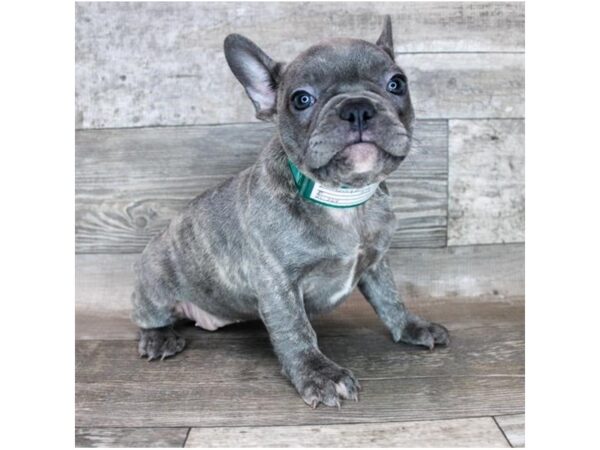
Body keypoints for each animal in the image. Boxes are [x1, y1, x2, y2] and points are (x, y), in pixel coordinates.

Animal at [132, 17, 450, 410]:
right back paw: (159, 338)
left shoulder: (377, 264)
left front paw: (410, 326)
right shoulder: (277, 282)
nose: (358, 107)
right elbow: (295, 329)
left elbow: (390, 298)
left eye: (397, 83)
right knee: (149, 316)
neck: (343, 198)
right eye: (301, 99)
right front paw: (319, 374)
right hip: (155, 282)